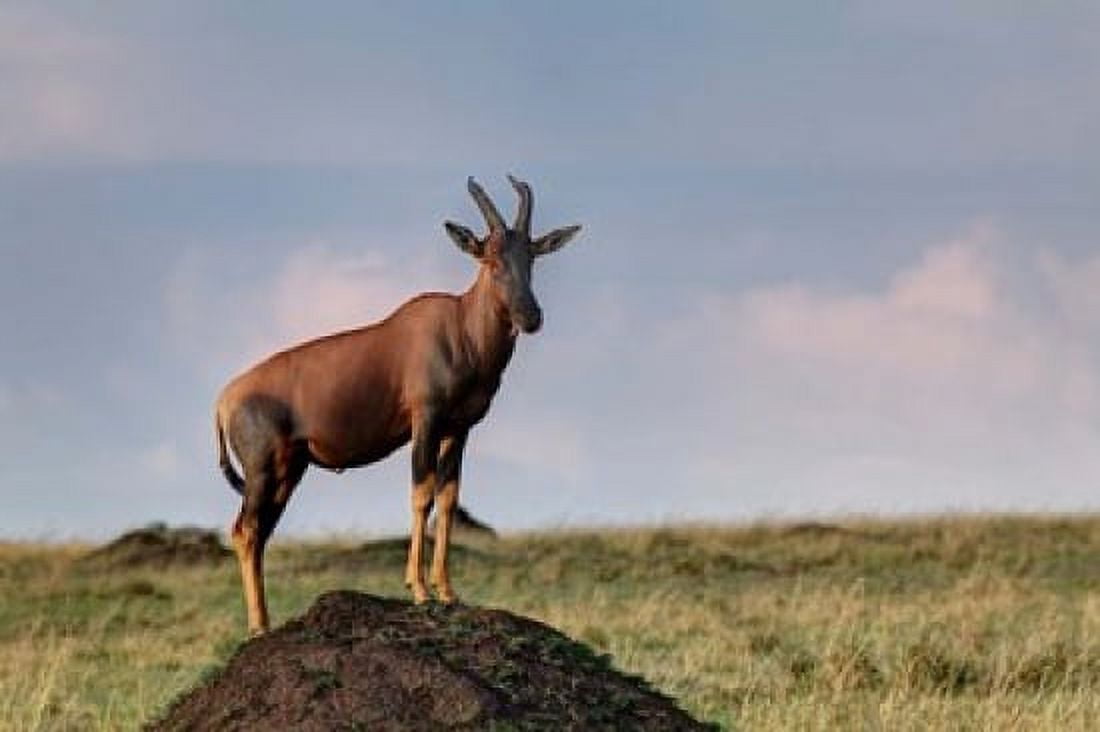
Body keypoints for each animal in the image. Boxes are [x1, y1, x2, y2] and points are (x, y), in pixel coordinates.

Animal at [214, 176, 581, 634]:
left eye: (531, 256)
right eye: (491, 259)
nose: (530, 318)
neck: (458, 327)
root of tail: (225, 399)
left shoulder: (458, 429)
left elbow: (448, 498)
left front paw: (447, 591)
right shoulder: (425, 421)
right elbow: (421, 493)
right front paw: (419, 590)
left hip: (289, 471)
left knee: (260, 532)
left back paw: (265, 622)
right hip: (263, 470)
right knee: (244, 531)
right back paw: (259, 627)